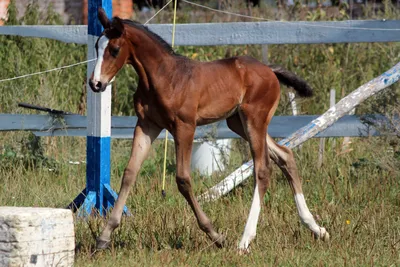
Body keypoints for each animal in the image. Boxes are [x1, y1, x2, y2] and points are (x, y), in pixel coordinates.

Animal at [90, 7, 328, 251]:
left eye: (114, 50)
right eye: (97, 46)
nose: (95, 84)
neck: (164, 77)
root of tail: (269, 70)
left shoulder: (185, 127)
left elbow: (183, 179)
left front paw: (215, 235)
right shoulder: (147, 125)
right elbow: (130, 173)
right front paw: (104, 236)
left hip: (255, 119)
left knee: (262, 169)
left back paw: (244, 240)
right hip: (238, 122)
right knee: (285, 155)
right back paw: (316, 228)